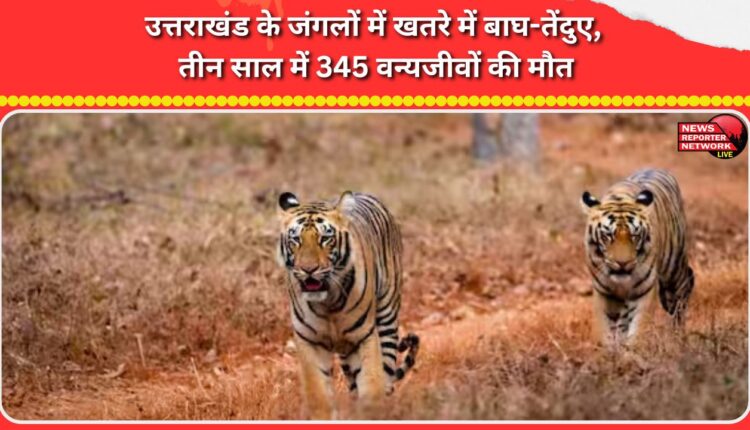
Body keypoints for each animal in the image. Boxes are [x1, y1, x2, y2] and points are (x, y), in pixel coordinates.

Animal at [276, 191, 419, 420]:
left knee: (387, 371)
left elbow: (371, 383)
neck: (328, 303)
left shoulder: (364, 337)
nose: (309, 269)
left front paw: (371, 411)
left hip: (387, 317)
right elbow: (318, 394)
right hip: (345, 351)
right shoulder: (309, 341)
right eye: (295, 239)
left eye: (325, 238)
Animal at [580, 168, 695, 347]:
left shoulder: (644, 291)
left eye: (635, 235)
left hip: (674, 274)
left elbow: (638, 328)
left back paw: (678, 340)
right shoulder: (603, 292)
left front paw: (632, 351)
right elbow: (605, 330)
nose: (623, 263)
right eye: (608, 235)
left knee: (679, 305)